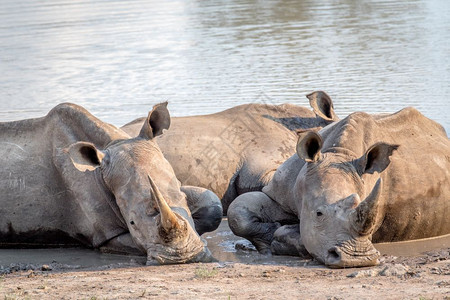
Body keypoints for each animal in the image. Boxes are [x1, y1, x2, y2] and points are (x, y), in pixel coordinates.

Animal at [0, 102, 221, 264]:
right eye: (131, 223)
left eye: (183, 199)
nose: (184, 258)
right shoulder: (105, 234)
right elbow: (133, 243)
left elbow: (212, 203)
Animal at [229, 106, 450, 268]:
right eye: (318, 213)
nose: (357, 258)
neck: (338, 154)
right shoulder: (280, 191)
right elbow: (237, 212)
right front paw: (273, 237)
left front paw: (286, 235)